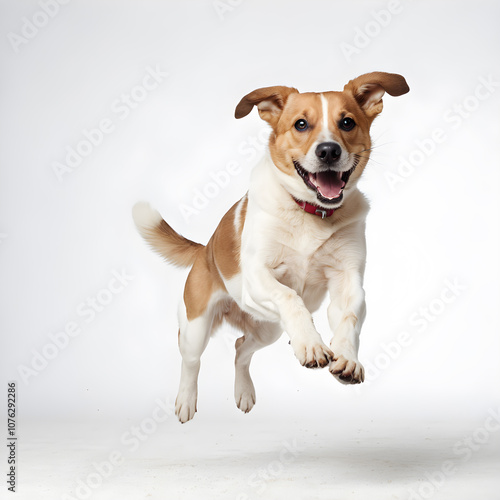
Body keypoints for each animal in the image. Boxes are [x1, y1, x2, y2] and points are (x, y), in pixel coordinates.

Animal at [134, 70, 410, 422]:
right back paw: (185, 400)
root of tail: (205, 250)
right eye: (301, 124)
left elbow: (348, 318)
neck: (310, 212)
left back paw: (244, 393)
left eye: (347, 122)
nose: (329, 151)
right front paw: (311, 343)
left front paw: (347, 357)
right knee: (191, 361)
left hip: (269, 330)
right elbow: (290, 297)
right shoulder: (257, 276)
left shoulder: (348, 281)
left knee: (240, 348)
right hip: (196, 327)